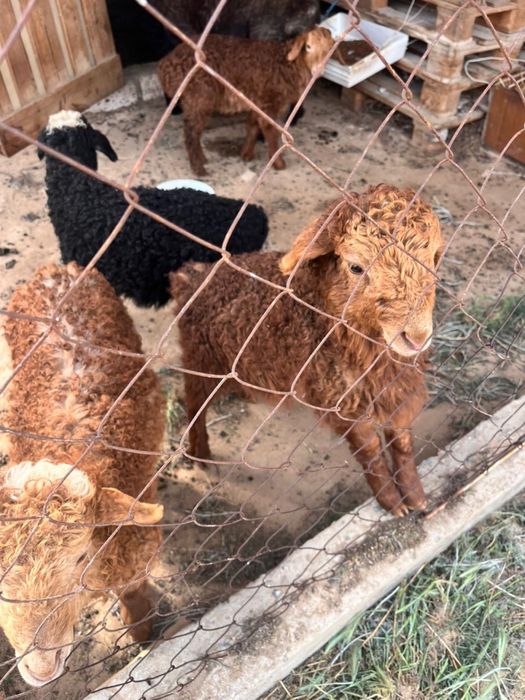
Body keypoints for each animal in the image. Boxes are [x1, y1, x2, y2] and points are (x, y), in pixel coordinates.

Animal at [0, 262, 165, 686]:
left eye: (79, 559)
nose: (40, 670)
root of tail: (55, 270)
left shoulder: (135, 553)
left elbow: (135, 596)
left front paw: (144, 636)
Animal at [158, 27, 335, 175]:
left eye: (329, 50)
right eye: (308, 46)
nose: (319, 70)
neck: (288, 65)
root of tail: (165, 67)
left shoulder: (257, 100)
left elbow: (252, 125)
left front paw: (247, 154)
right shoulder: (270, 100)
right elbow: (269, 130)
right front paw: (278, 163)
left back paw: (202, 160)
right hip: (198, 97)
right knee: (191, 132)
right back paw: (199, 168)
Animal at [170, 185, 444, 517]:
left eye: (433, 258)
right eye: (356, 267)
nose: (416, 336)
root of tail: (189, 276)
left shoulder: (398, 390)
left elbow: (401, 441)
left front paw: (415, 496)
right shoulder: (340, 399)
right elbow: (370, 451)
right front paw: (392, 502)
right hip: (202, 359)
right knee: (194, 405)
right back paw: (200, 454)